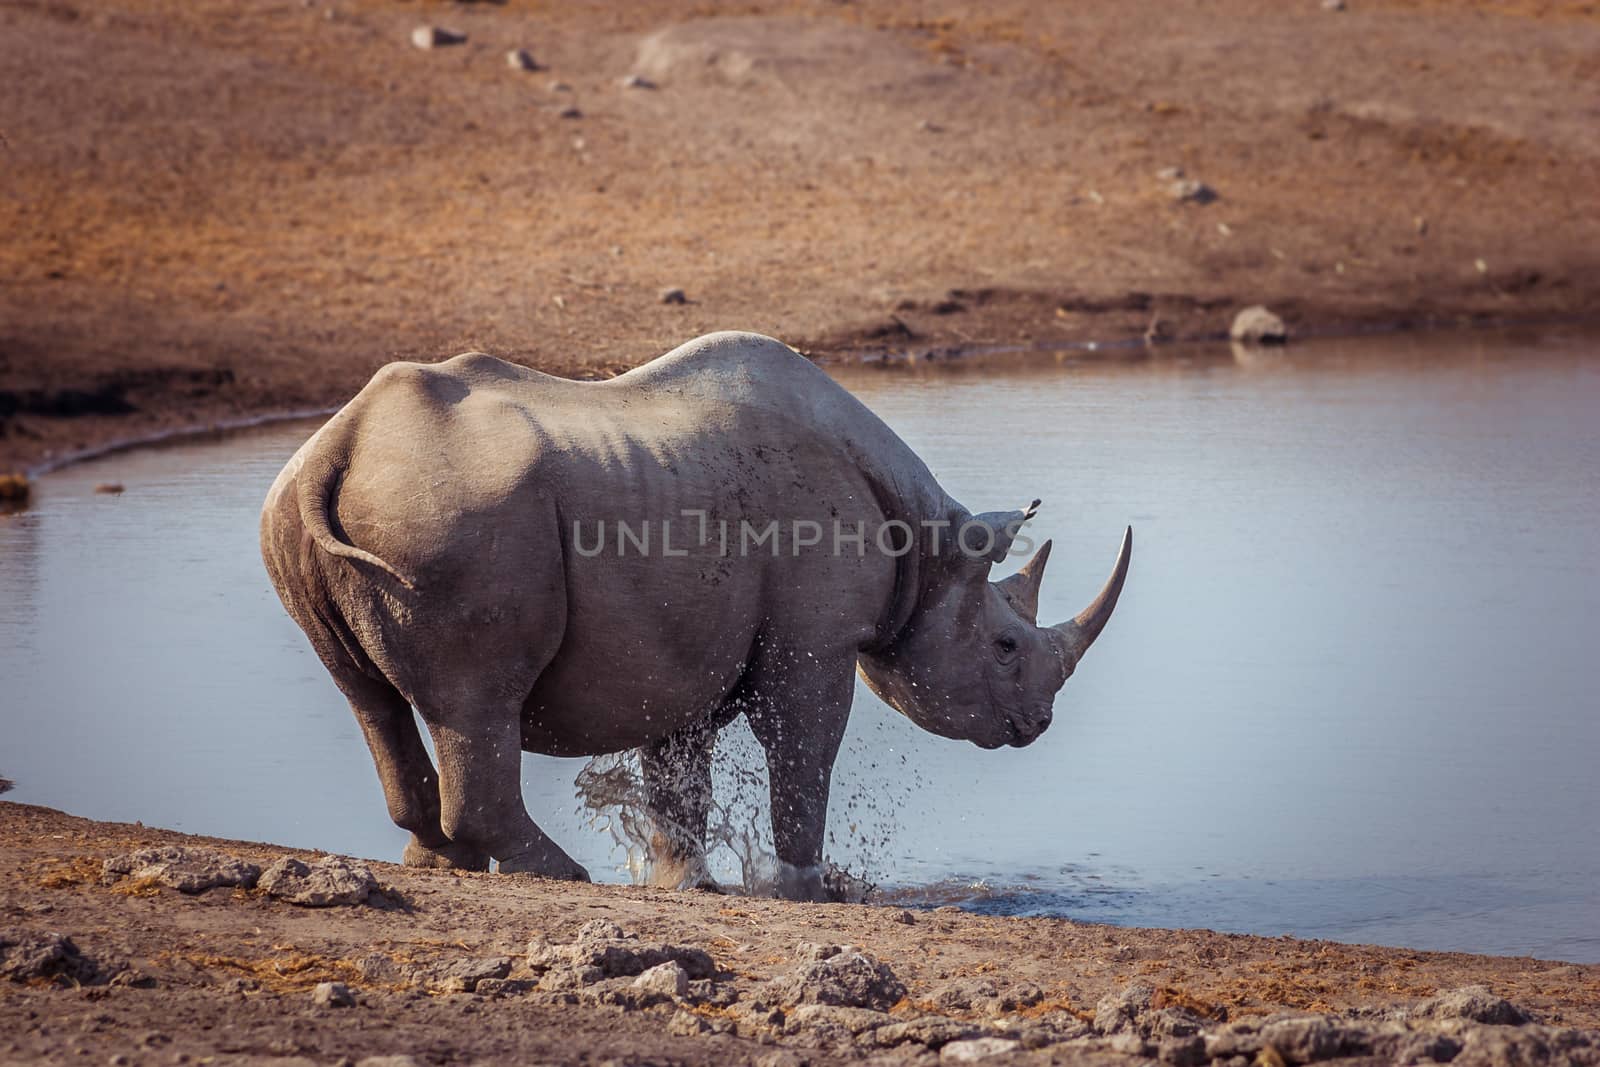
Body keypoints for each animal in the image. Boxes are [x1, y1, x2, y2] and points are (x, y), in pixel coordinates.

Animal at [262, 329, 1132, 895]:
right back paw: (559, 873)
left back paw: (446, 864)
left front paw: (689, 883)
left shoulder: (678, 639)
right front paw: (806, 885)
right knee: (479, 701)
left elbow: (678, 773)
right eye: (1006, 645)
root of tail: (343, 442)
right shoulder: (815, 641)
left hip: (310, 518)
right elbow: (804, 752)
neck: (928, 543)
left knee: (372, 698)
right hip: (457, 518)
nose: (1038, 723)